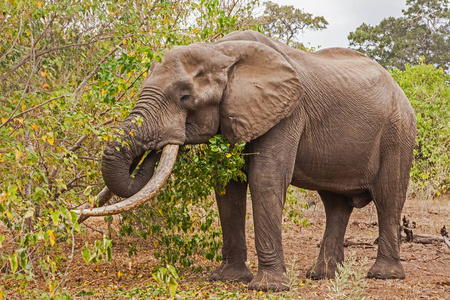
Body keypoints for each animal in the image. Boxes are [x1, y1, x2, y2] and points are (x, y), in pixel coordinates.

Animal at [75, 30, 416, 290]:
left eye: (185, 97)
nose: (157, 148)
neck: (221, 51)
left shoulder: (287, 112)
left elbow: (265, 179)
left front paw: (268, 288)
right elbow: (228, 187)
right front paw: (228, 280)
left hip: (398, 133)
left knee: (387, 197)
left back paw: (382, 275)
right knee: (335, 204)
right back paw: (321, 275)